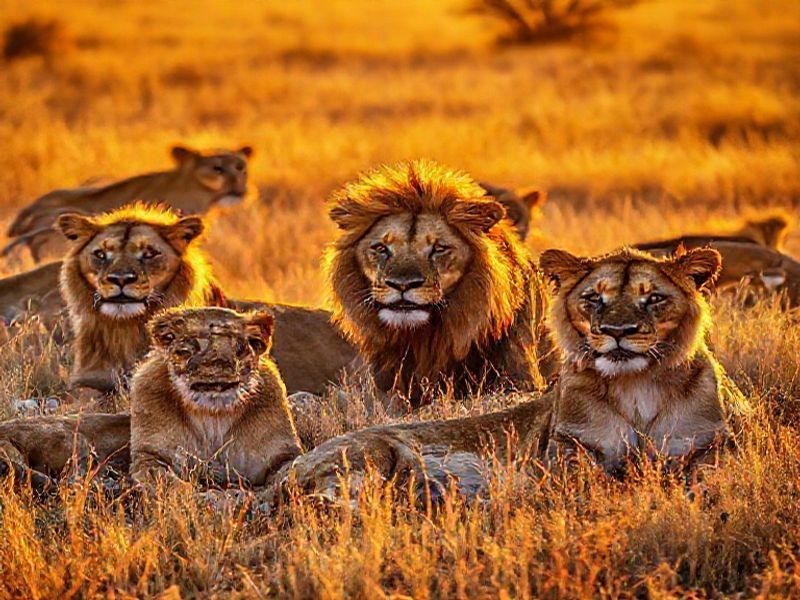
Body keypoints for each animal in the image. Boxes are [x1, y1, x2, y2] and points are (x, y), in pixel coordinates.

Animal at [56, 203, 214, 400]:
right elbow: (83, 394)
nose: (121, 279)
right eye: (100, 254)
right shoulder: (88, 377)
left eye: (149, 254)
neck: (125, 329)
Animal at [130, 307, 301, 488]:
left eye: (238, 347)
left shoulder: (281, 452)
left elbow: (291, 468)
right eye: (186, 350)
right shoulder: (148, 452)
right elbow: (159, 476)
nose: (216, 365)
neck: (213, 415)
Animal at [262, 247, 744, 503]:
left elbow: (709, 480)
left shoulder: (709, 447)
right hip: (374, 452)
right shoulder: (565, 453)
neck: (636, 385)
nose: (617, 332)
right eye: (594, 298)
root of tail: (284, 472)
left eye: (653, 299)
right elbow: (593, 481)